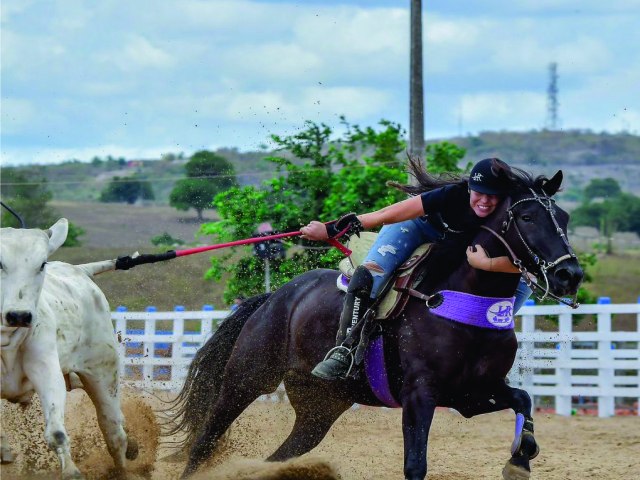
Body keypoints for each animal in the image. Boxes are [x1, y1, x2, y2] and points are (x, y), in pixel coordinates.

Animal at [1, 219, 138, 478]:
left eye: (41, 264)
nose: (19, 315)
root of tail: (80, 271)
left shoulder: (45, 369)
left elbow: (56, 432)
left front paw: (72, 471)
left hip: (103, 373)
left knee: (114, 431)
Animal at [168, 171, 584, 478]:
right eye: (527, 217)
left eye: (564, 218)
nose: (570, 274)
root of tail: (273, 297)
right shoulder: (420, 394)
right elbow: (415, 464)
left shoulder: (470, 394)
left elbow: (524, 399)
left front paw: (519, 460)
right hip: (247, 378)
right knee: (206, 438)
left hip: (319, 408)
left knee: (280, 455)